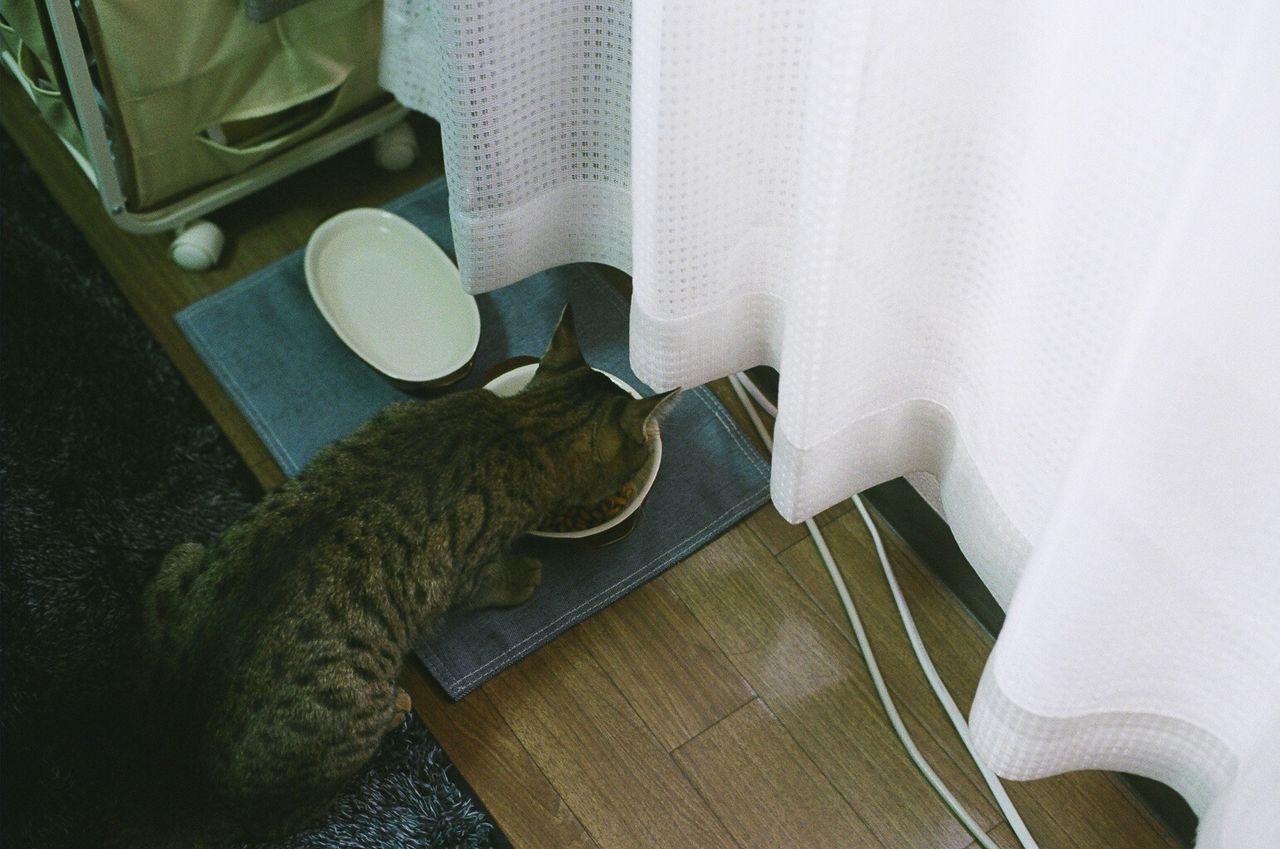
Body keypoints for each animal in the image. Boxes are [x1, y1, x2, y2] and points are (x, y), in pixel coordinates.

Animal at [136, 307, 680, 845]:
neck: (523, 427)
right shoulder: (466, 571)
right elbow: (493, 583)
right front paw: (525, 574)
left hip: (182, 556)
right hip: (354, 706)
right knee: (296, 813)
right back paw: (398, 706)